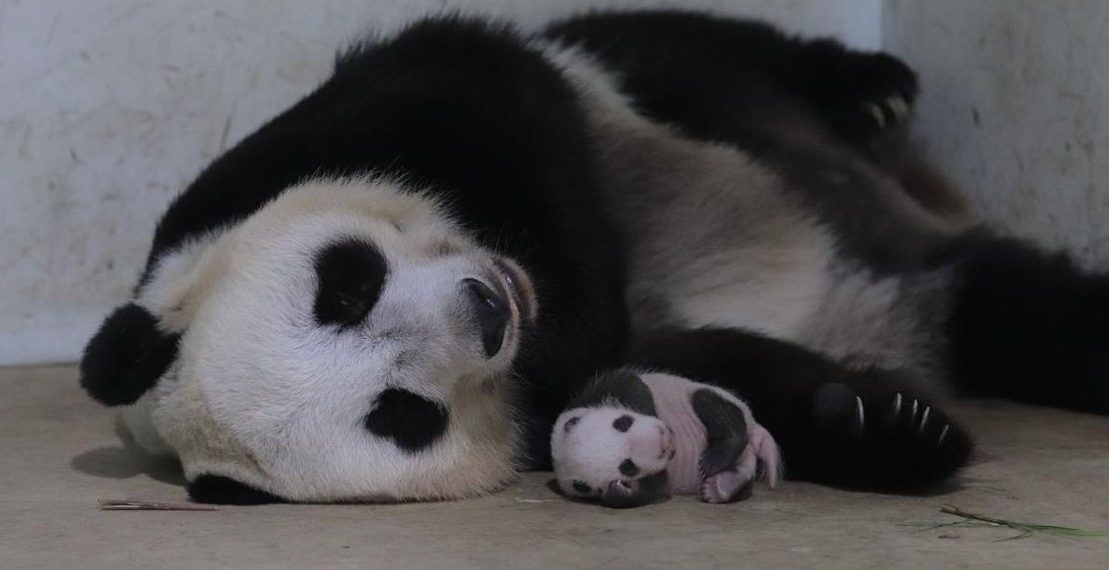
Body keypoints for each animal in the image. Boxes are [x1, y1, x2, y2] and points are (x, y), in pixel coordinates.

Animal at [551, 369, 781, 508]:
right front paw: (618, 492)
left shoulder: (590, 396)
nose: (664, 441)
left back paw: (715, 460)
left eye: (622, 423)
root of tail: (754, 430)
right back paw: (719, 488)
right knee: (744, 475)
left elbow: (633, 385)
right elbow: (652, 488)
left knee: (713, 407)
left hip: (705, 393)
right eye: (628, 466)